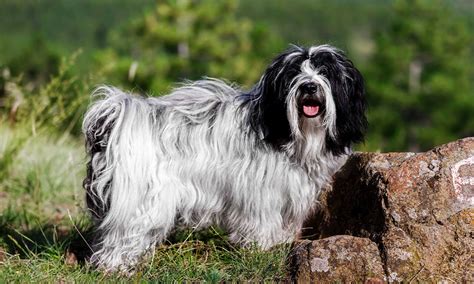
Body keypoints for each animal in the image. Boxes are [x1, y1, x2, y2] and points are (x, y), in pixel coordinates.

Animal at [83, 44, 368, 270]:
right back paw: (116, 267)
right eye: (293, 73)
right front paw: (262, 249)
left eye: (326, 72)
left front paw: (281, 245)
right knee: (122, 236)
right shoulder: (259, 193)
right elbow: (261, 223)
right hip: (141, 201)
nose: (309, 86)